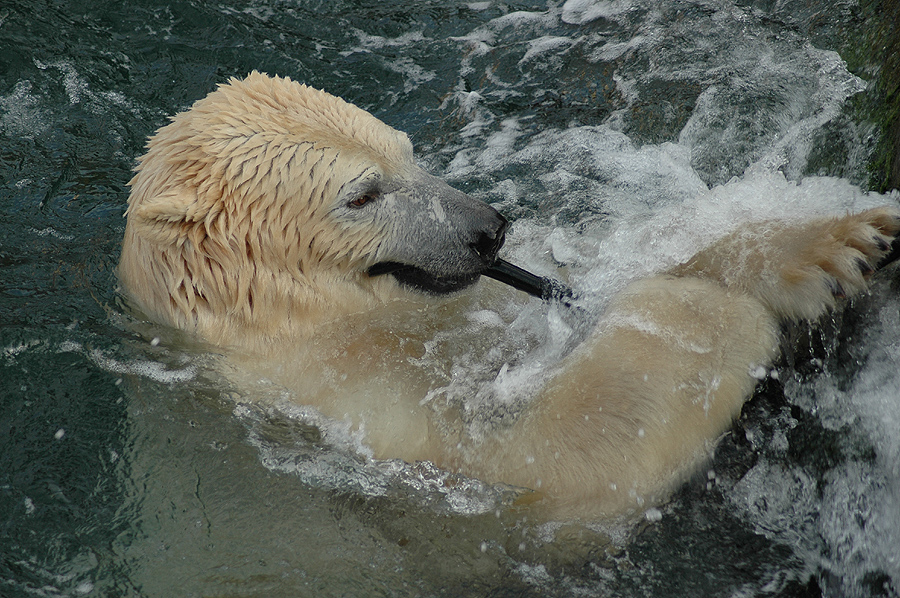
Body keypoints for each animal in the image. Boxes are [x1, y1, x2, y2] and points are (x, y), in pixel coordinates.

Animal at [119, 70, 900, 520]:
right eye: (362, 194)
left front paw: (823, 243)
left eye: (408, 149)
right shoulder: (336, 402)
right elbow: (544, 463)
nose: (488, 230)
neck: (299, 321)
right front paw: (710, 309)